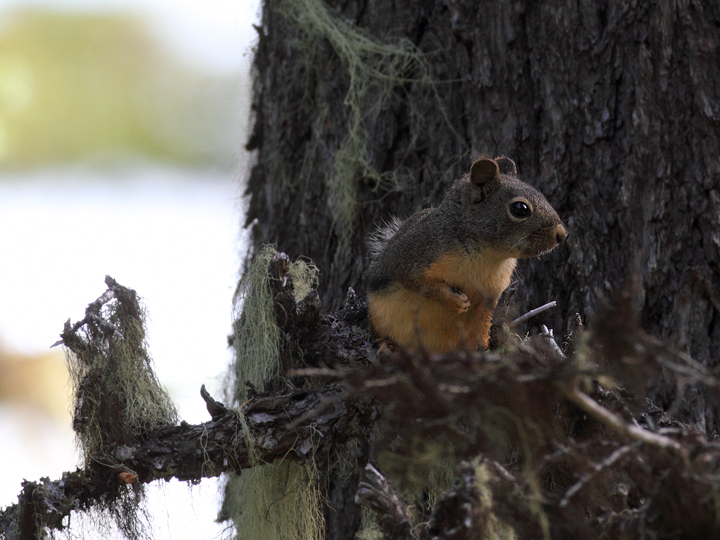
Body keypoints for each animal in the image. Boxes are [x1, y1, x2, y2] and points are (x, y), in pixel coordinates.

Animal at [368, 156, 564, 354]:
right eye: (520, 208)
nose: (562, 234)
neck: (488, 255)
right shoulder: (414, 255)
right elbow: (419, 283)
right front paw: (456, 301)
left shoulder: (490, 296)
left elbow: (483, 322)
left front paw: (485, 344)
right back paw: (388, 345)